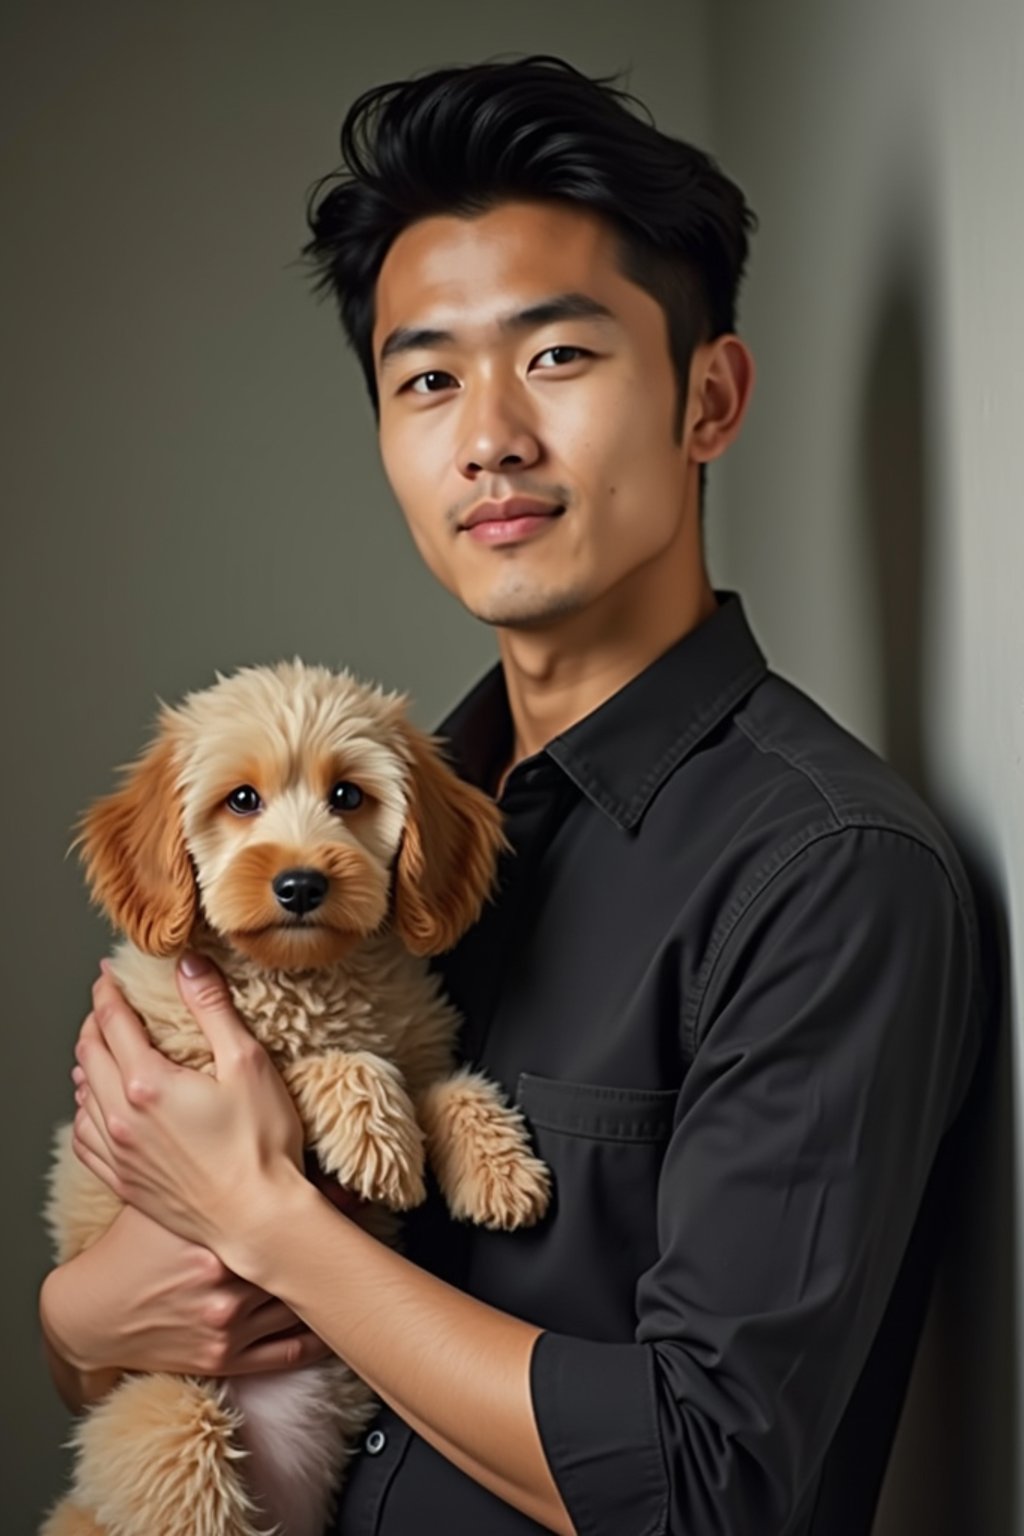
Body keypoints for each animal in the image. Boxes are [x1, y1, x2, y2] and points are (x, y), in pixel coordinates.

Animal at [42, 666, 549, 1536]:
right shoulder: (194, 1060)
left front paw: (499, 1171)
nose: (301, 884)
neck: (309, 976)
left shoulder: (420, 1041)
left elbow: (448, 1085)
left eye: (348, 795)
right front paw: (377, 1134)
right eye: (241, 801)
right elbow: (311, 1065)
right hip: (167, 1415)